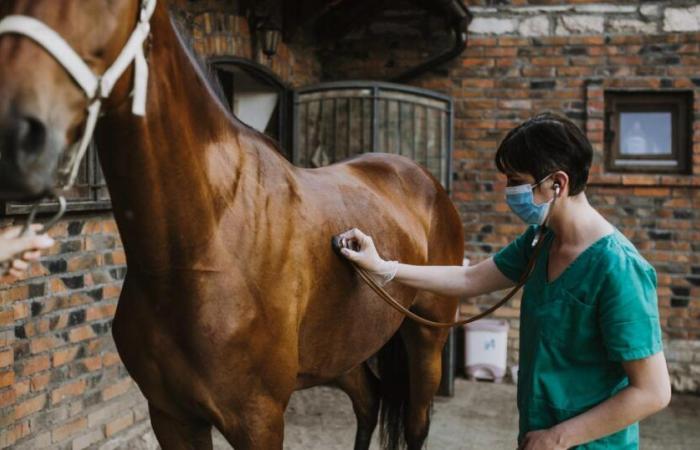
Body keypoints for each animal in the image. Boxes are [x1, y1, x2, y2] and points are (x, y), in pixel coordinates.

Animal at [1, 1, 464, 448]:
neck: (206, 246)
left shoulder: (258, 420)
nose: (16, 133)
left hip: (426, 339)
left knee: (416, 424)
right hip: (341, 352)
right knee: (368, 402)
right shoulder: (171, 416)